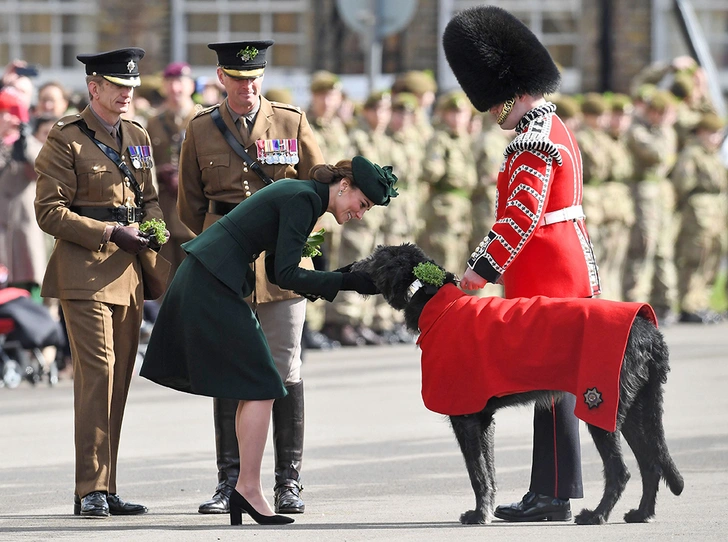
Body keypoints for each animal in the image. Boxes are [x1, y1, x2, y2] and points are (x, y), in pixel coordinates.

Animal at [352, 245, 684, 528]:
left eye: (376, 257)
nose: (353, 266)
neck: (434, 300)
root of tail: (649, 331)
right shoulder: (483, 419)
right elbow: (488, 471)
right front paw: (485, 510)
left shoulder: (465, 417)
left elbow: (477, 473)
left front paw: (478, 515)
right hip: (635, 409)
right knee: (651, 465)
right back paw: (641, 513)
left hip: (601, 405)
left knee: (621, 471)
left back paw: (596, 515)